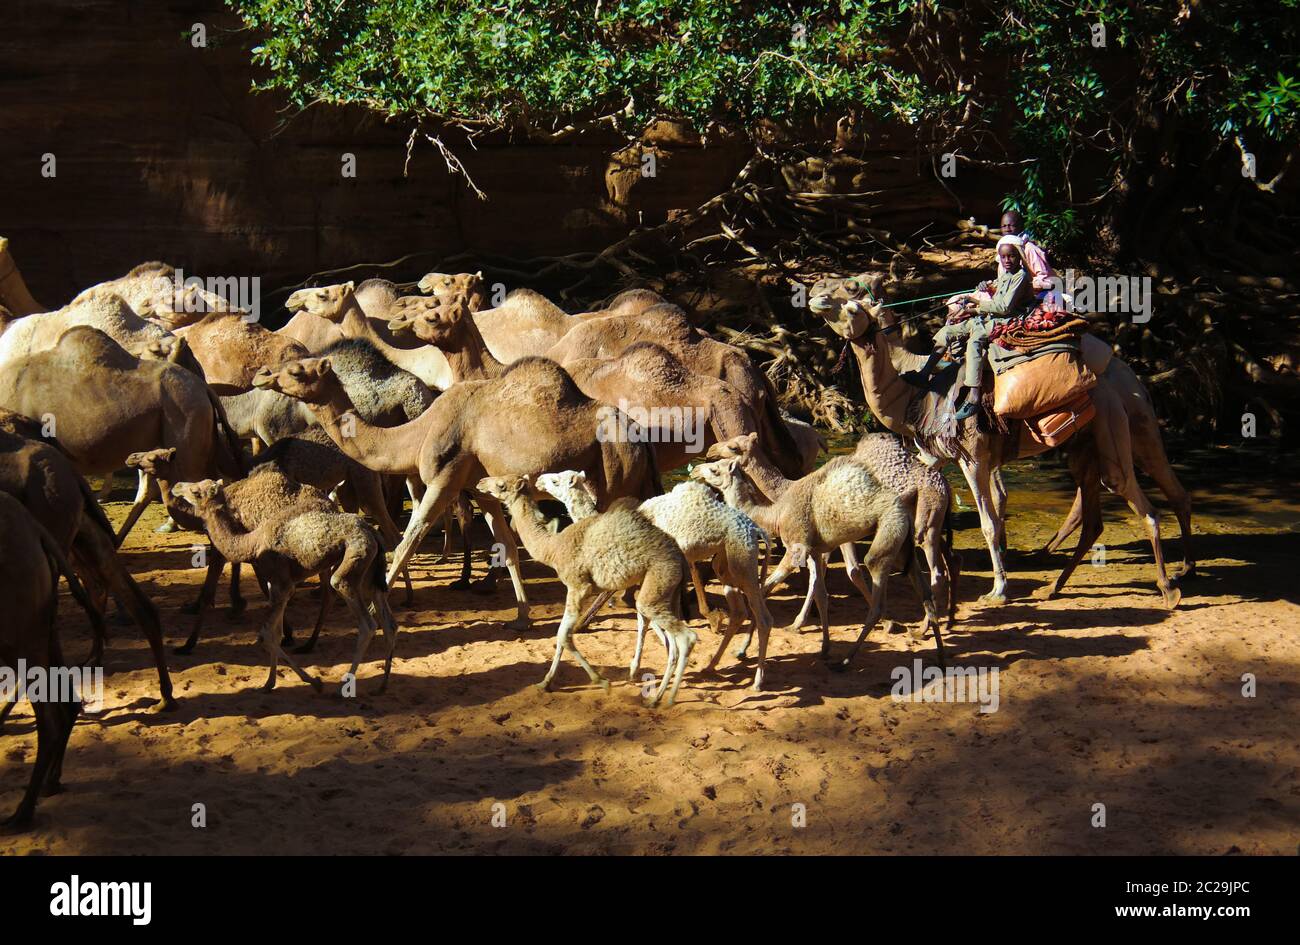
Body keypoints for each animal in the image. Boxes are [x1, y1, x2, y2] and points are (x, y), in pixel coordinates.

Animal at [250, 353, 660, 629]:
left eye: (297, 370)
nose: (262, 373)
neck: (418, 431)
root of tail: (638, 435)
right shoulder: (482, 487)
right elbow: (507, 547)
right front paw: (521, 616)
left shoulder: (444, 476)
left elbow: (409, 538)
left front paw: (376, 611)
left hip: (611, 475)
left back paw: (590, 616)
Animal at [811, 272, 1190, 613]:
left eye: (850, 292)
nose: (814, 292)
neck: (917, 391)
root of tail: (1120, 366)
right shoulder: (944, 456)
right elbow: (965, 508)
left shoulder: (973, 458)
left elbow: (989, 522)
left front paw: (998, 590)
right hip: (1111, 429)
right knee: (1144, 495)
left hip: (1113, 419)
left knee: (1137, 497)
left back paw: (1169, 589)